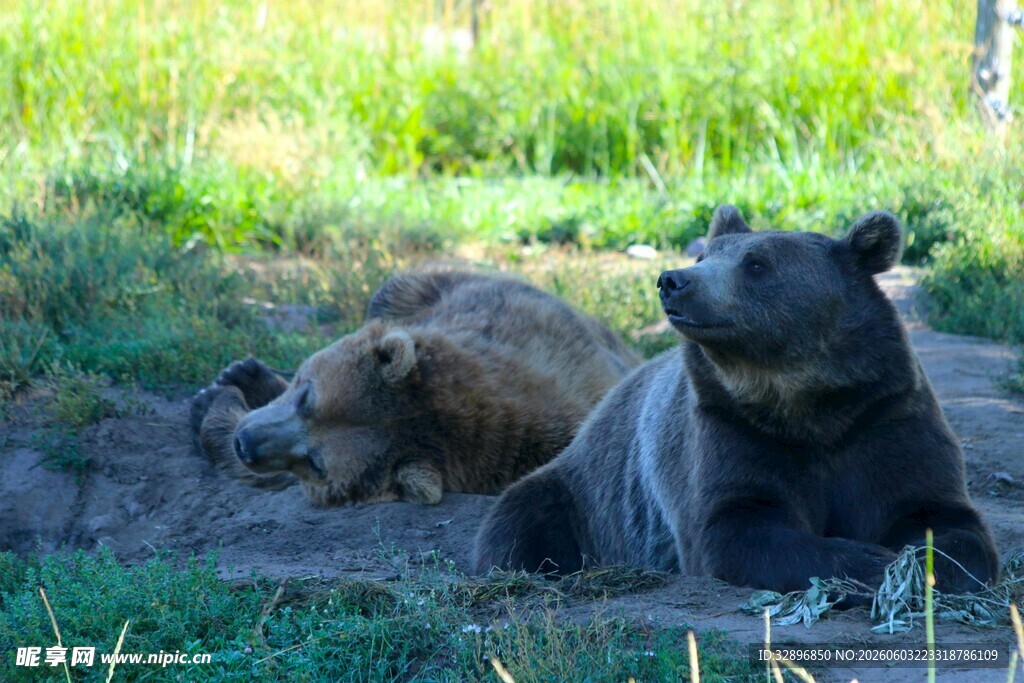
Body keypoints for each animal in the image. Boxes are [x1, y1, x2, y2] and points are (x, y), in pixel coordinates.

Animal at [191, 270, 640, 505]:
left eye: (316, 462)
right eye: (307, 397)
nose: (246, 443)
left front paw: (216, 400)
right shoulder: (510, 310)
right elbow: (397, 288)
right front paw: (242, 374)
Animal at [473, 206, 1000, 599]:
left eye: (757, 264)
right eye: (706, 253)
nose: (673, 279)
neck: (811, 405)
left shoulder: (884, 417)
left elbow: (942, 517)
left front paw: (913, 564)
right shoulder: (730, 427)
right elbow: (735, 525)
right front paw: (868, 561)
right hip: (586, 494)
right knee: (522, 519)